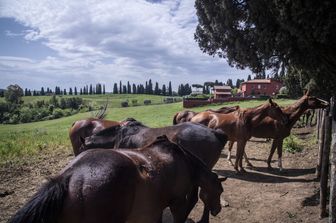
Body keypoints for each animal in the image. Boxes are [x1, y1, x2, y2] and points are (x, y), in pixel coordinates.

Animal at [9, 136, 227, 223]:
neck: (184, 160)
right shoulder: (176, 204)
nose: (217, 210)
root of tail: (68, 176)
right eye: (219, 191)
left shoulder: (155, 207)